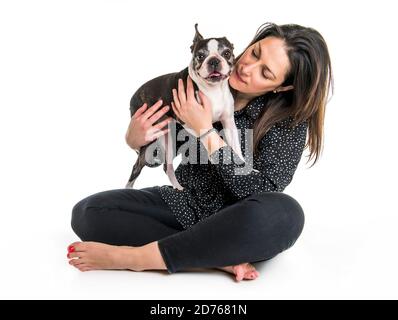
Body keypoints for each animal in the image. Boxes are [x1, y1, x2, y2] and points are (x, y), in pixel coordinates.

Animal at [126, 25, 243, 191]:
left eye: (227, 53)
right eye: (200, 56)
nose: (214, 60)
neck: (213, 90)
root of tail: (133, 97)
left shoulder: (228, 122)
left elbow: (236, 147)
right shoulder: (188, 121)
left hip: (167, 137)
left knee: (167, 167)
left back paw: (179, 187)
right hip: (149, 135)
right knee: (137, 167)